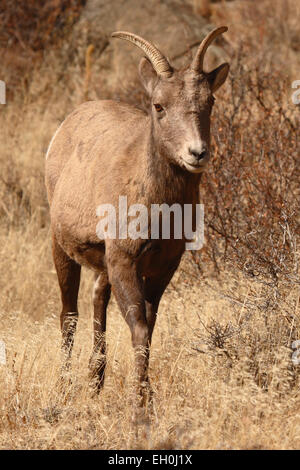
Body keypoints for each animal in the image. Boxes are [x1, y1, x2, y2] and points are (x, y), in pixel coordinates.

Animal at [44, 27, 229, 412]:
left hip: (103, 264)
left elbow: (150, 325)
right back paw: (65, 387)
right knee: (69, 315)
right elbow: (139, 327)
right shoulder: (125, 260)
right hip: (62, 248)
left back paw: (95, 382)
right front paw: (139, 405)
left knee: (97, 299)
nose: (197, 153)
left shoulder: (162, 267)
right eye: (159, 106)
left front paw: (145, 396)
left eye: (210, 102)